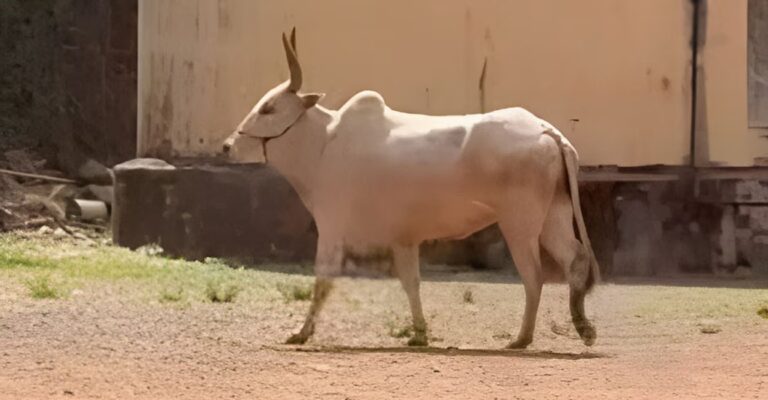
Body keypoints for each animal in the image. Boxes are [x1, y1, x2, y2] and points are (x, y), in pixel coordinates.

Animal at [223, 29, 600, 349]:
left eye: (268, 108)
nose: (228, 146)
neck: (324, 143)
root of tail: (545, 129)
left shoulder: (331, 226)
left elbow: (323, 281)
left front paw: (301, 333)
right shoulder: (403, 239)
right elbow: (411, 282)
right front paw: (419, 334)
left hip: (519, 224)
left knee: (534, 276)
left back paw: (522, 338)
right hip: (552, 216)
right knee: (575, 259)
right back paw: (583, 327)